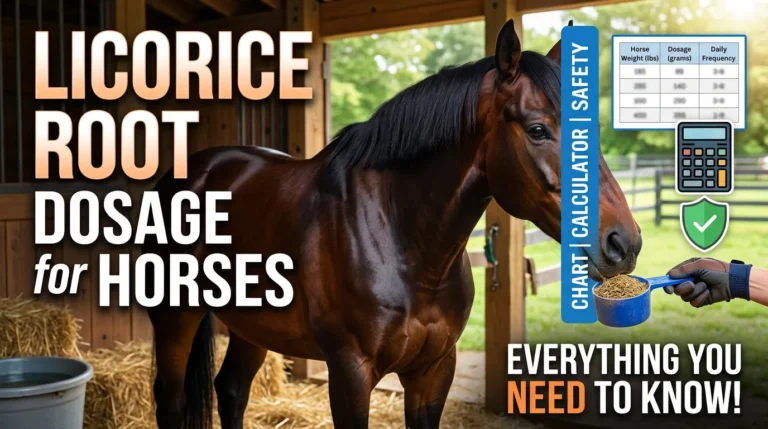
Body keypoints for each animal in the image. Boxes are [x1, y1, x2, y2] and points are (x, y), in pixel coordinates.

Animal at [145, 19, 642, 429]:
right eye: (538, 130)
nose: (623, 243)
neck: (403, 242)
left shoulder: (433, 372)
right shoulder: (350, 374)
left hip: (254, 325)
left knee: (231, 391)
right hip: (175, 318)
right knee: (171, 402)